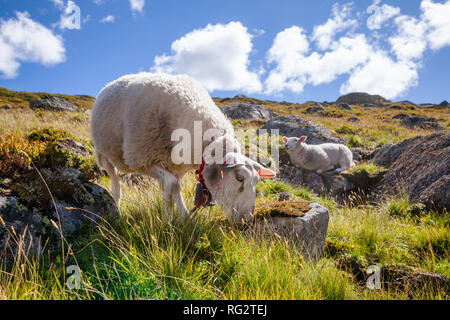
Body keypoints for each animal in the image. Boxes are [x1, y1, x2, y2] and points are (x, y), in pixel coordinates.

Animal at [90, 72, 274, 224]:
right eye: (239, 178)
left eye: (257, 181)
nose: (246, 222)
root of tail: (111, 83)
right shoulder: (141, 159)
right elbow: (172, 185)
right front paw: (180, 216)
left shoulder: (175, 166)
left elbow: (171, 189)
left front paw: (173, 217)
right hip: (104, 155)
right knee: (115, 183)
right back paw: (116, 210)